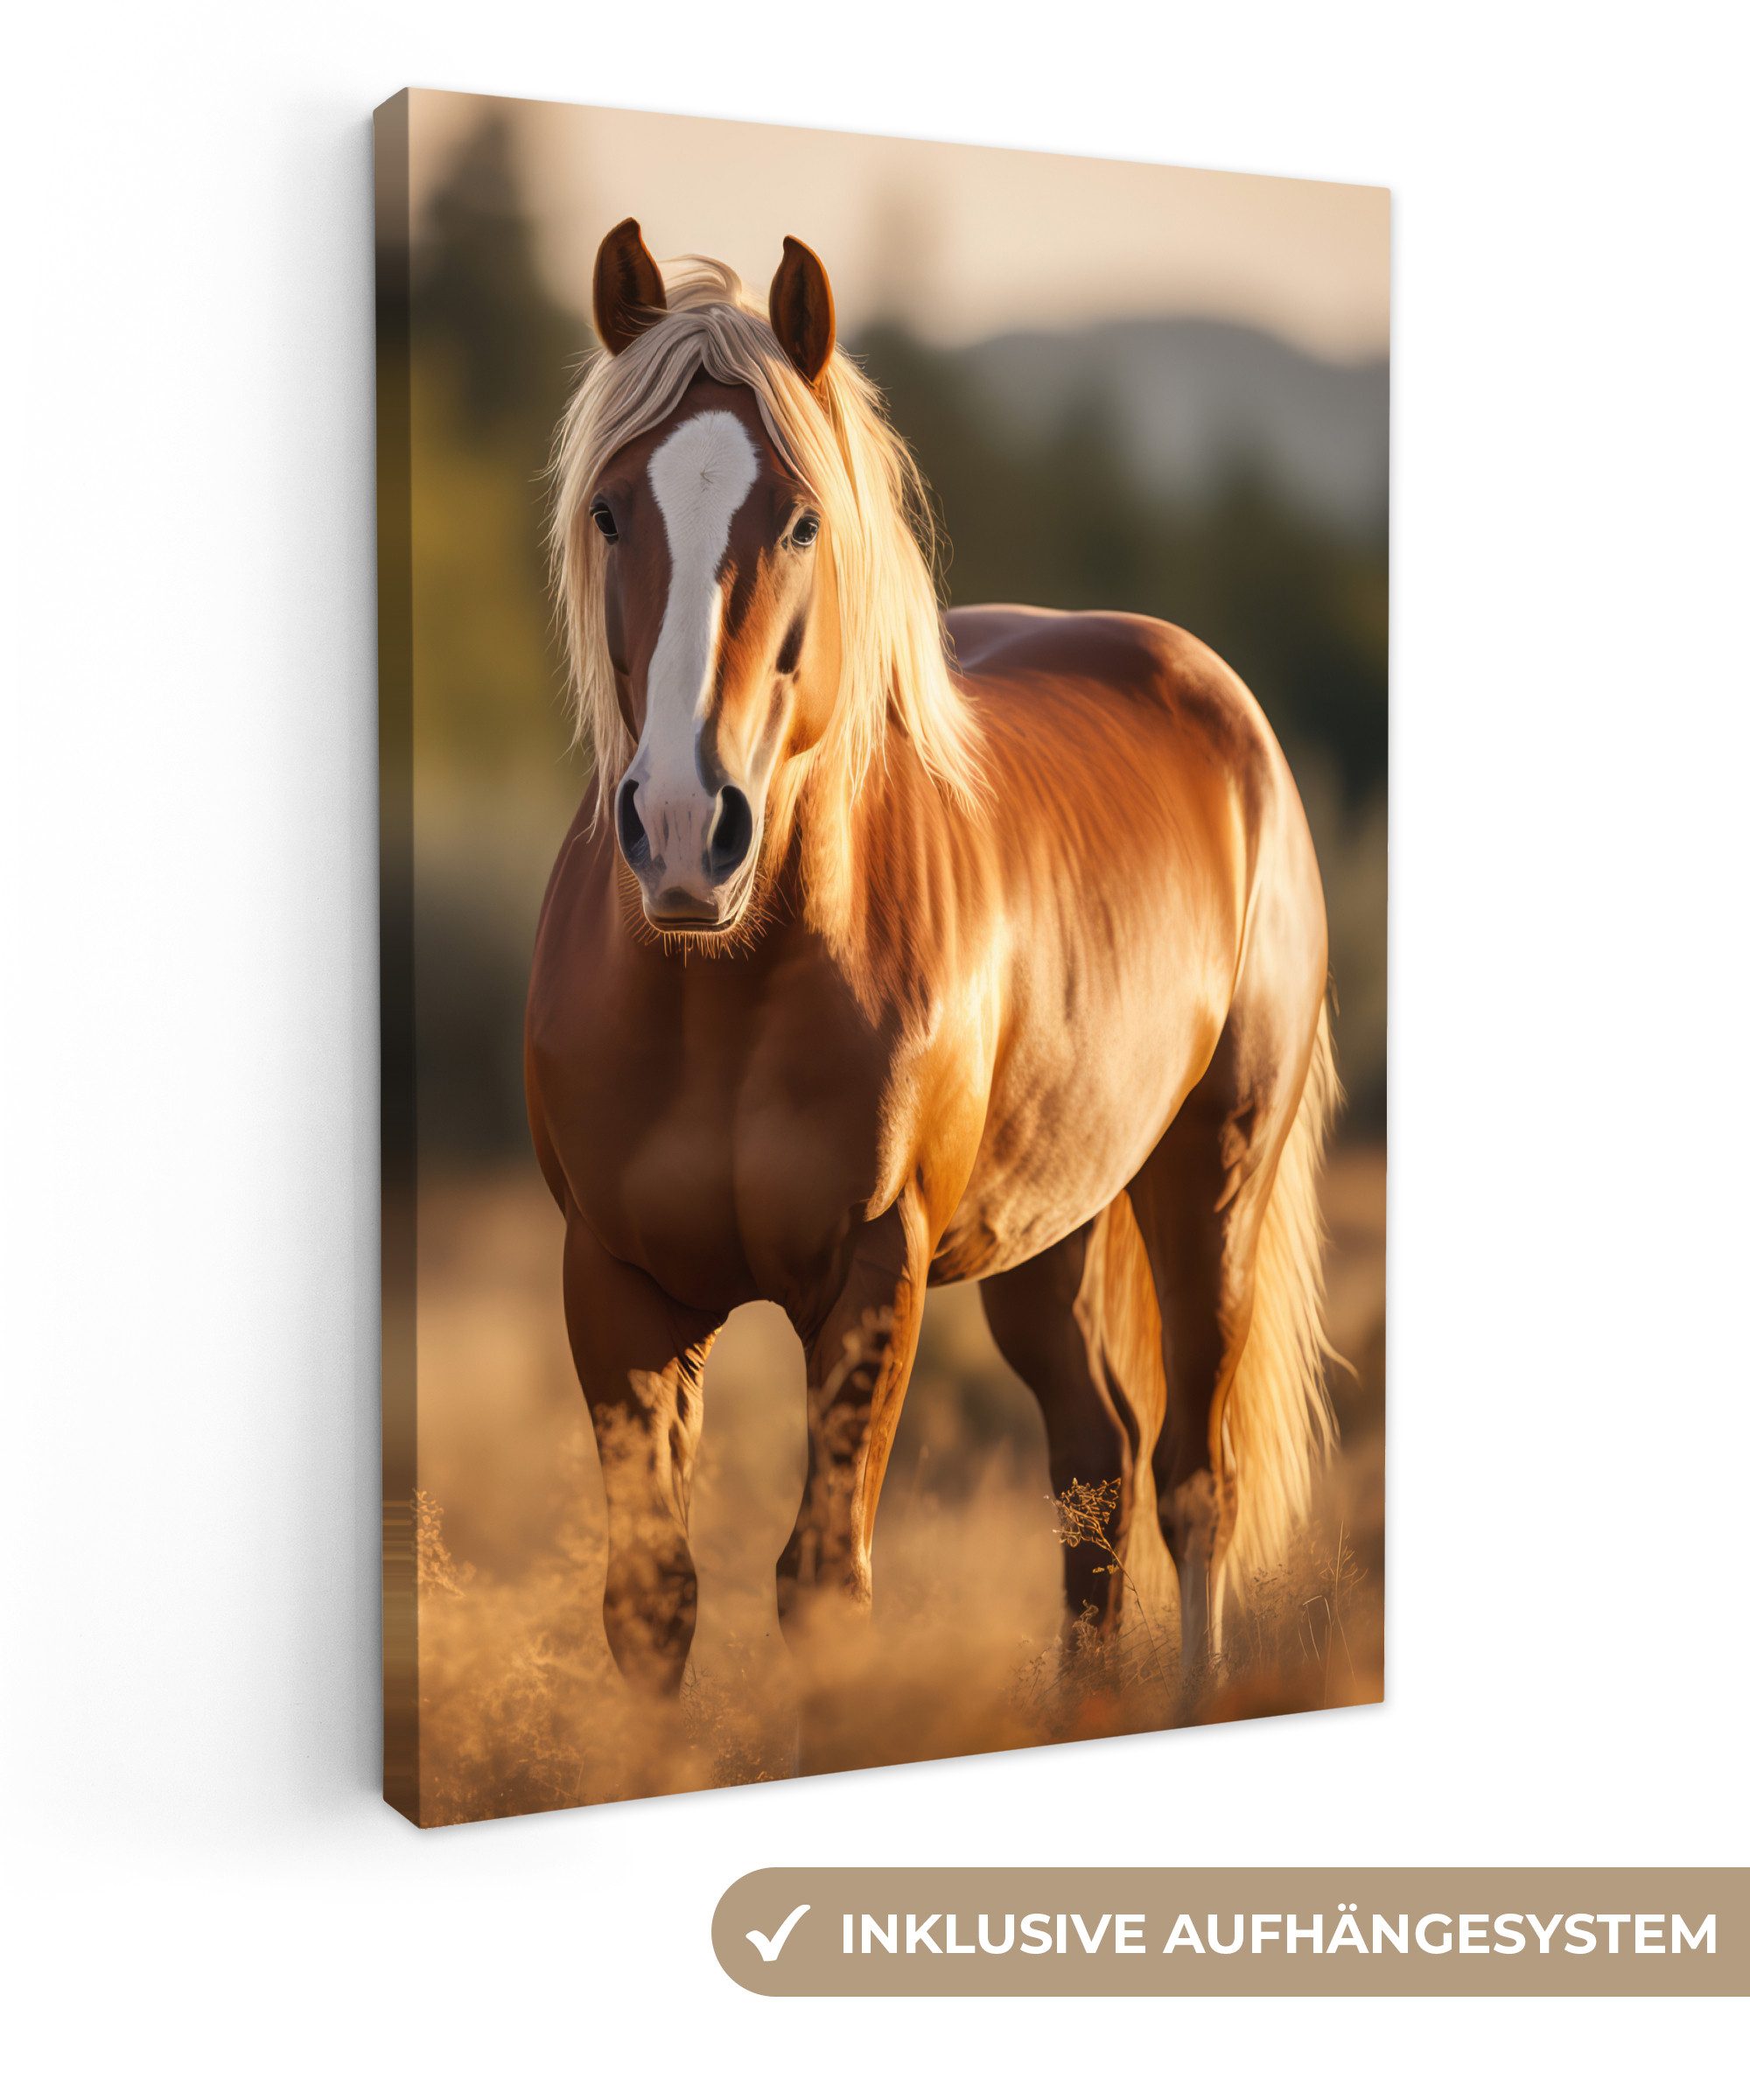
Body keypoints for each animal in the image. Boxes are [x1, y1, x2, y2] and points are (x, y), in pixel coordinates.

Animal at [526, 219, 1339, 1697]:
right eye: (611, 510)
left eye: (801, 519)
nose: (682, 831)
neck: (720, 995)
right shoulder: (616, 1281)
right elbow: (652, 1601)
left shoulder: (872, 1271)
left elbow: (821, 1585)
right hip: (1049, 1232)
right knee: (1096, 1465)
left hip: (1213, 1183)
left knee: (1196, 1483)